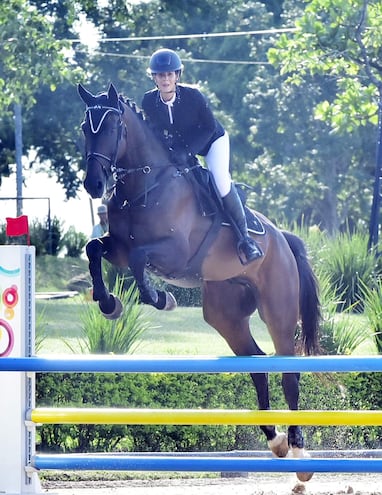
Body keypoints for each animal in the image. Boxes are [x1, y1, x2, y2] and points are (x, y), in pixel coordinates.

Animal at [79, 83, 320, 482]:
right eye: (86, 128)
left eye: (113, 128)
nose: (94, 184)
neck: (146, 184)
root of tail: (282, 238)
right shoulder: (119, 248)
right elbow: (94, 248)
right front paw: (109, 303)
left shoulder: (171, 252)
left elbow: (142, 263)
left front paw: (162, 299)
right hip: (225, 314)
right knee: (256, 364)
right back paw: (275, 440)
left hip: (278, 311)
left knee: (289, 371)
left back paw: (299, 450)